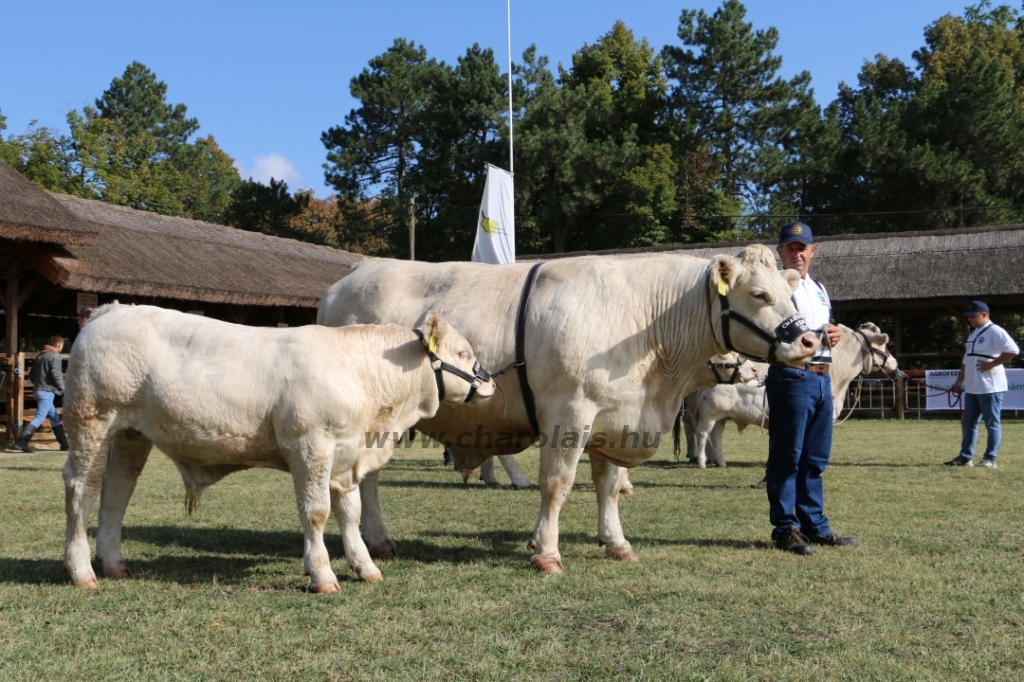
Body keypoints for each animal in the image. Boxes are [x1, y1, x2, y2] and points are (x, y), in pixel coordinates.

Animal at [61, 303, 493, 589]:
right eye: (462, 352)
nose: (490, 382)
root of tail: (110, 311)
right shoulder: (310, 447)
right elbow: (316, 513)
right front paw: (321, 573)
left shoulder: (346, 457)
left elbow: (350, 514)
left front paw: (364, 566)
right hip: (91, 424)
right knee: (82, 491)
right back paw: (82, 571)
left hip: (131, 435)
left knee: (116, 494)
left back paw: (113, 563)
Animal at [315, 241, 819, 569]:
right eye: (758, 294)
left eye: (788, 292)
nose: (811, 341)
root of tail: (348, 278)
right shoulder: (569, 413)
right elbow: (557, 484)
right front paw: (547, 552)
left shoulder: (615, 418)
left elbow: (609, 487)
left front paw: (617, 543)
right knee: (366, 481)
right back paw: (375, 542)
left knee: (369, 477)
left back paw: (377, 540)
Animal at [688, 321, 897, 464]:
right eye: (883, 345)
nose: (895, 363)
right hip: (710, 414)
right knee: (703, 433)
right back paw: (702, 462)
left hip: (722, 416)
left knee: (716, 436)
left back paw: (721, 462)